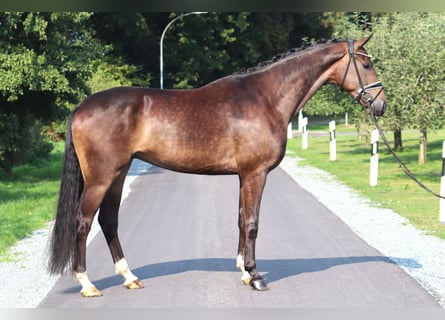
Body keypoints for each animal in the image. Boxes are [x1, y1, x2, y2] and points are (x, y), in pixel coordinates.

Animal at [46, 35, 384, 298]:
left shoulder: (243, 176)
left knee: (109, 221)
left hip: (118, 175)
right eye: (366, 64)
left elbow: (241, 220)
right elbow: (253, 223)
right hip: (101, 179)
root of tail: (82, 106)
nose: (381, 105)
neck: (265, 98)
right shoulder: (256, 174)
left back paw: (129, 277)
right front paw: (256, 277)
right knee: (83, 222)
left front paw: (245, 272)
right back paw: (87, 283)